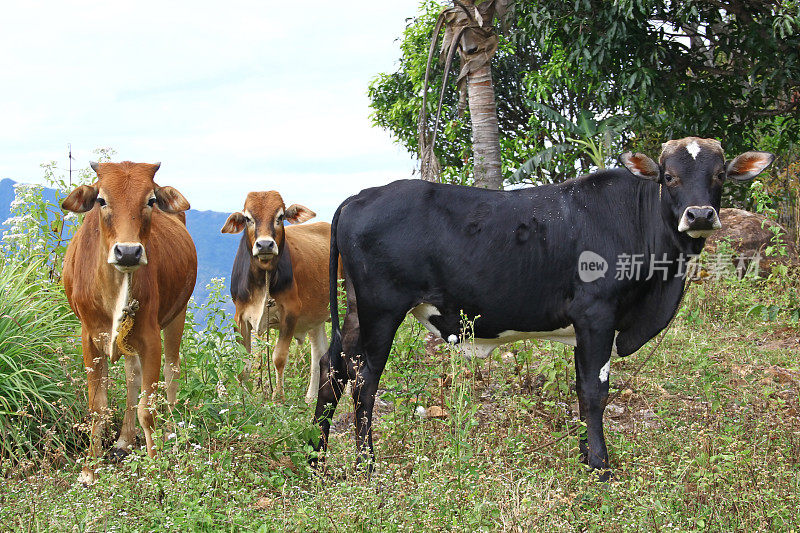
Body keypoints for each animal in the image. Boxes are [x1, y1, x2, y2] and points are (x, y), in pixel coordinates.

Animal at [60, 160, 195, 484]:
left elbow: (148, 407)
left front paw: (155, 465)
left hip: (178, 314)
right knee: (132, 375)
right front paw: (90, 468)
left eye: (151, 200)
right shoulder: (90, 338)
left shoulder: (150, 338)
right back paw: (123, 440)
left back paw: (169, 433)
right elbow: (97, 406)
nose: (129, 252)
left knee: (172, 371)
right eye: (101, 200)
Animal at [219, 189, 332, 402]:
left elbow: (279, 358)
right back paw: (311, 397)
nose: (264, 245)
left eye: (280, 217)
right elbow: (243, 364)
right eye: (248, 218)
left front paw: (278, 398)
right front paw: (242, 400)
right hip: (317, 315)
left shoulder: (290, 313)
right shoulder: (240, 317)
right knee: (320, 352)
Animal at [314, 138, 776, 478]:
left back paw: (317, 458)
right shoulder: (597, 315)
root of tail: (359, 196)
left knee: (332, 371)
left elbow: (582, 389)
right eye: (669, 176)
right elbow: (595, 392)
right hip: (380, 312)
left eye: (720, 175)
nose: (700, 215)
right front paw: (600, 466)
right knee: (363, 383)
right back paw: (366, 465)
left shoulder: (584, 327)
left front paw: (586, 455)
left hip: (355, 311)